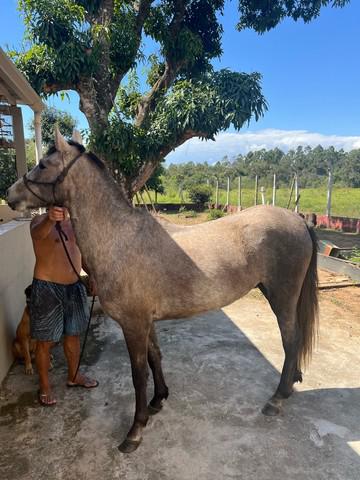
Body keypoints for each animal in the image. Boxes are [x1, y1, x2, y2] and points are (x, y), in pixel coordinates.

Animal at [7, 129, 318, 452]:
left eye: (43, 164)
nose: (10, 195)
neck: (120, 238)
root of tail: (298, 220)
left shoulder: (133, 324)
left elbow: (138, 374)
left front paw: (135, 430)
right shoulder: (147, 322)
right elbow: (155, 357)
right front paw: (158, 400)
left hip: (282, 298)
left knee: (291, 341)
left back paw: (277, 398)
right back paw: (291, 382)